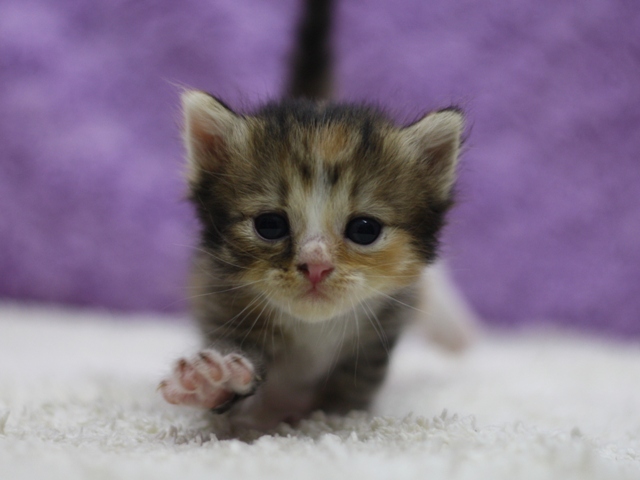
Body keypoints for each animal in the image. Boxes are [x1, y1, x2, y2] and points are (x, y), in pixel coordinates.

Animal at [158, 0, 462, 432]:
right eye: (270, 225)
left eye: (364, 230)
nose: (315, 265)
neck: (312, 332)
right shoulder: (220, 303)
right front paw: (213, 384)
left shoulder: (378, 337)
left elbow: (349, 395)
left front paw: (328, 417)